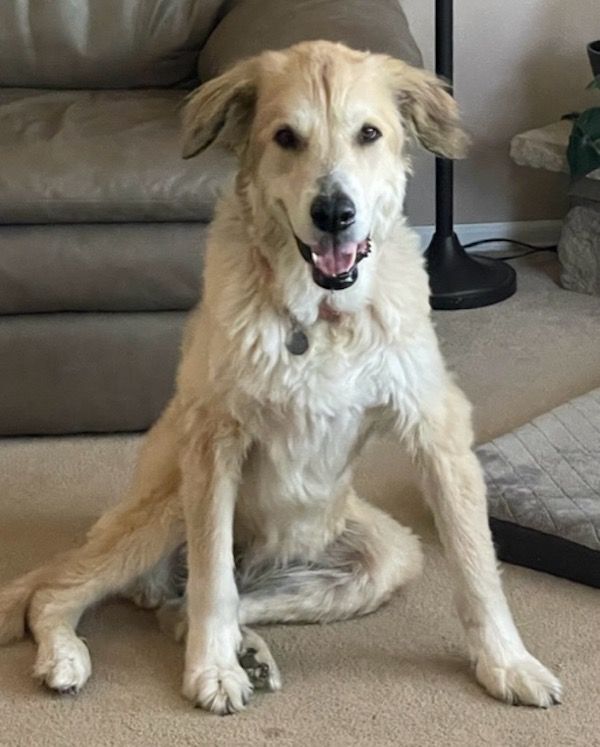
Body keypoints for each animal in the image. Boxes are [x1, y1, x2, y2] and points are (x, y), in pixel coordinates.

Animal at [1, 39, 564, 712]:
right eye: (286, 137)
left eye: (369, 133)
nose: (334, 213)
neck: (320, 315)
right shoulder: (213, 440)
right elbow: (212, 578)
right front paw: (212, 669)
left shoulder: (436, 426)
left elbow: (477, 565)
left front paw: (507, 662)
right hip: (166, 505)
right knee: (67, 592)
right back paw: (69, 655)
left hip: (383, 554)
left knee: (184, 607)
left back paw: (246, 649)